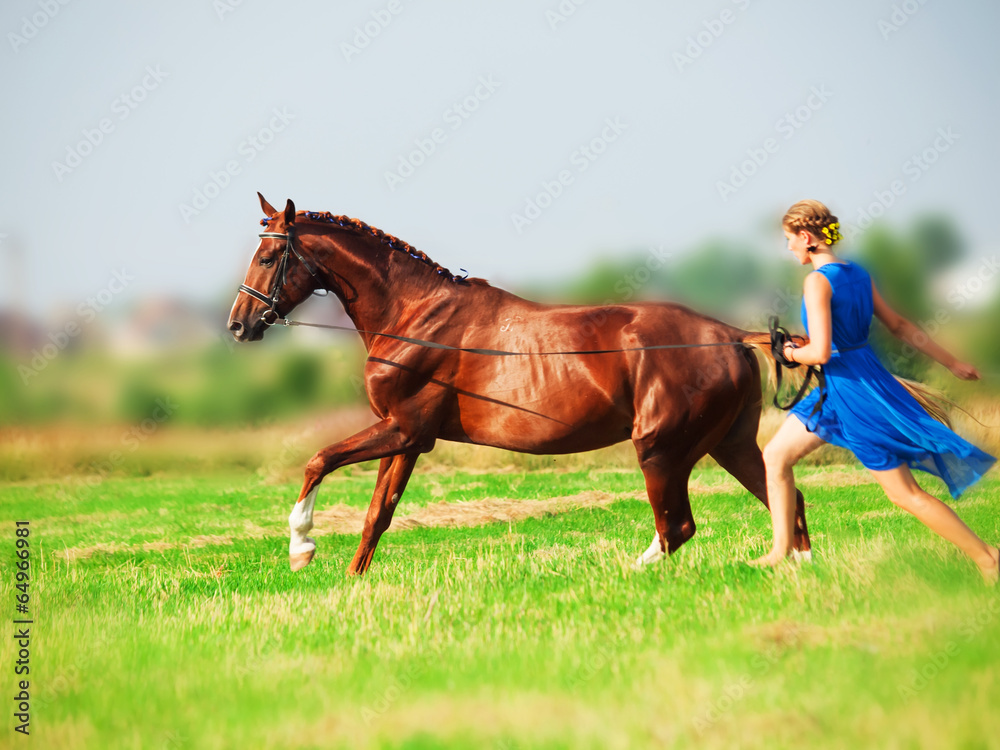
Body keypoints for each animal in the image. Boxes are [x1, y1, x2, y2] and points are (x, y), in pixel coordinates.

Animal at [228, 194, 811, 575]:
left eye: (267, 256)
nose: (239, 325)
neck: (414, 315)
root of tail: (730, 334)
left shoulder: (405, 429)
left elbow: (318, 460)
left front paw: (301, 548)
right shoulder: (407, 439)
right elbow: (377, 516)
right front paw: (352, 582)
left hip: (662, 449)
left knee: (678, 528)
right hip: (728, 443)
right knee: (788, 500)